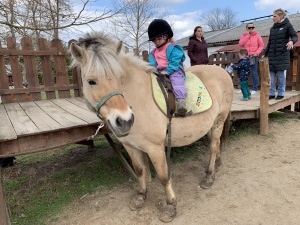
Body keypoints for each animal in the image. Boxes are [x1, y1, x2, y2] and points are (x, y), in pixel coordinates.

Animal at [70, 32, 234, 223]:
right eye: (91, 81)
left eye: (120, 78)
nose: (124, 120)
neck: (138, 98)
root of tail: (222, 71)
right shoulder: (130, 145)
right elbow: (140, 170)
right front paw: (140, 196)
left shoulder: (155, 148)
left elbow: (163, 176)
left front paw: (170, 206)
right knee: (215, 145)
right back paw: (216, 166)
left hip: (219, 121)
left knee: (214, 146)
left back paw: (209, 176)